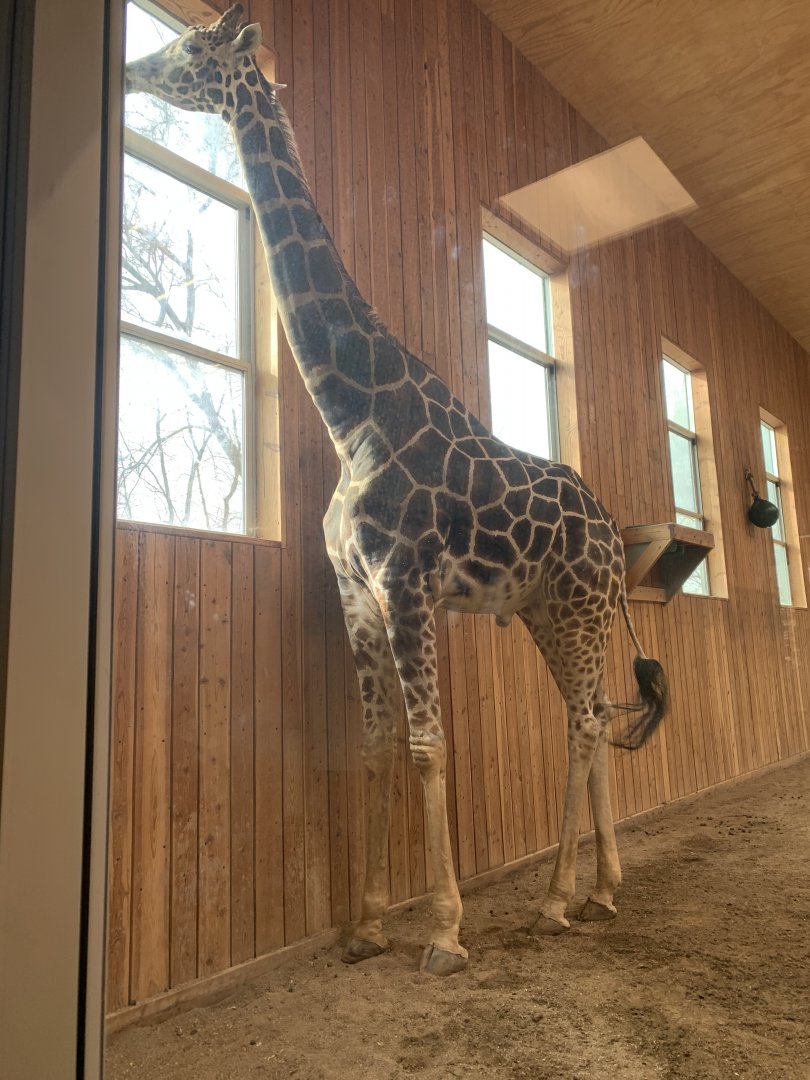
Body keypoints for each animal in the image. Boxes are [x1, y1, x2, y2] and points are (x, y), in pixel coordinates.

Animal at [125, 4, 668, 976]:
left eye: (193, 46)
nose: (133, 68)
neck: (354, 415)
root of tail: (614, 532)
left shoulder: (407, 584)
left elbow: (426, 746)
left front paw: (445, 932)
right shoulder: (356, 590)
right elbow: (375, 747)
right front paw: (366, 924)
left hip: (576, 608)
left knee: (581, 723)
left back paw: (556, 900)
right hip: (553, 611)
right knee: (598, 715)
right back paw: (602, 889)